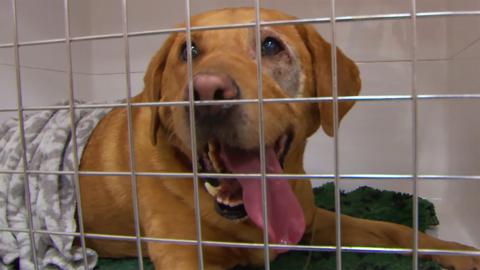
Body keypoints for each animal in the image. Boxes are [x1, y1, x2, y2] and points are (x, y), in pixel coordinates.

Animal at [79, 7, 480, 268]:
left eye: (270, 46)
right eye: (187, 50)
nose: (207, 92)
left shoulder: (313, 220)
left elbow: (397, 231)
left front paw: (457, 251)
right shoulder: (183, 255)